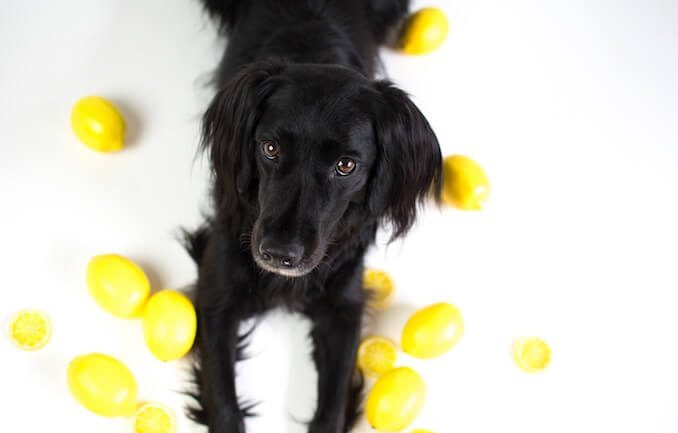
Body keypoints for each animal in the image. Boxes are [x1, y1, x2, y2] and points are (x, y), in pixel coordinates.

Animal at [183, 0, 444, 432]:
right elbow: (224, 403)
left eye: (346, 165)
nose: (278, 254)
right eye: (269, 148)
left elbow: (333, 405)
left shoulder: (344, 304)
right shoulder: (217, 291)